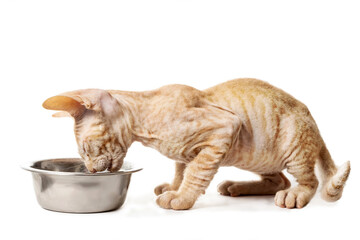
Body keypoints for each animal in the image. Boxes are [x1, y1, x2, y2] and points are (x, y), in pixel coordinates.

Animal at [41, 78, 348, 209]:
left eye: (86, 149)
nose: (92, 170)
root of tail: (311, 118)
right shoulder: (186, 152)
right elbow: (181, 169)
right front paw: (173, 186)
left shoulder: (225, 127)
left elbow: (196, 173)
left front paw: (180, 197)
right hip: (254, 155)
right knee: (278, 180)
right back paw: (237, 187)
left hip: (292, 145)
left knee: (308, 181)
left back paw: (295, 195)